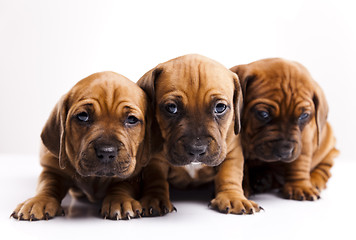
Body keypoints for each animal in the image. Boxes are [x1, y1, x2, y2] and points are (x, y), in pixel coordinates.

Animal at [10, 72, 149, 220]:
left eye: (132, 119)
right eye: (83, 116)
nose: (106, 152)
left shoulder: (134, 174)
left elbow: (122, 184)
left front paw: (119, 200)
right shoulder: (52, 168)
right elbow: (47, 184)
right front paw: (39, 201)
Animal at [136, 53, 258, 215]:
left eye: (220, 107)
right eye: (171, 108)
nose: (196, 149)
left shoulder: (232, 152)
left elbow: (230, 174)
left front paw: (233, 197)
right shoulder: (155, 159)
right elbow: (155, 178)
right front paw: (154, 198)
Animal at [231, 58, 340, 201]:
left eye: (304, 116)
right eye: (263, 114)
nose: (285, 151)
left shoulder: (304, 139)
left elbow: (299, 162)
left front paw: (300, 186)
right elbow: (241, 166)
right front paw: (242, 189)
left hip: (329, 149)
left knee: (324, 168)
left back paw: (314, 180)